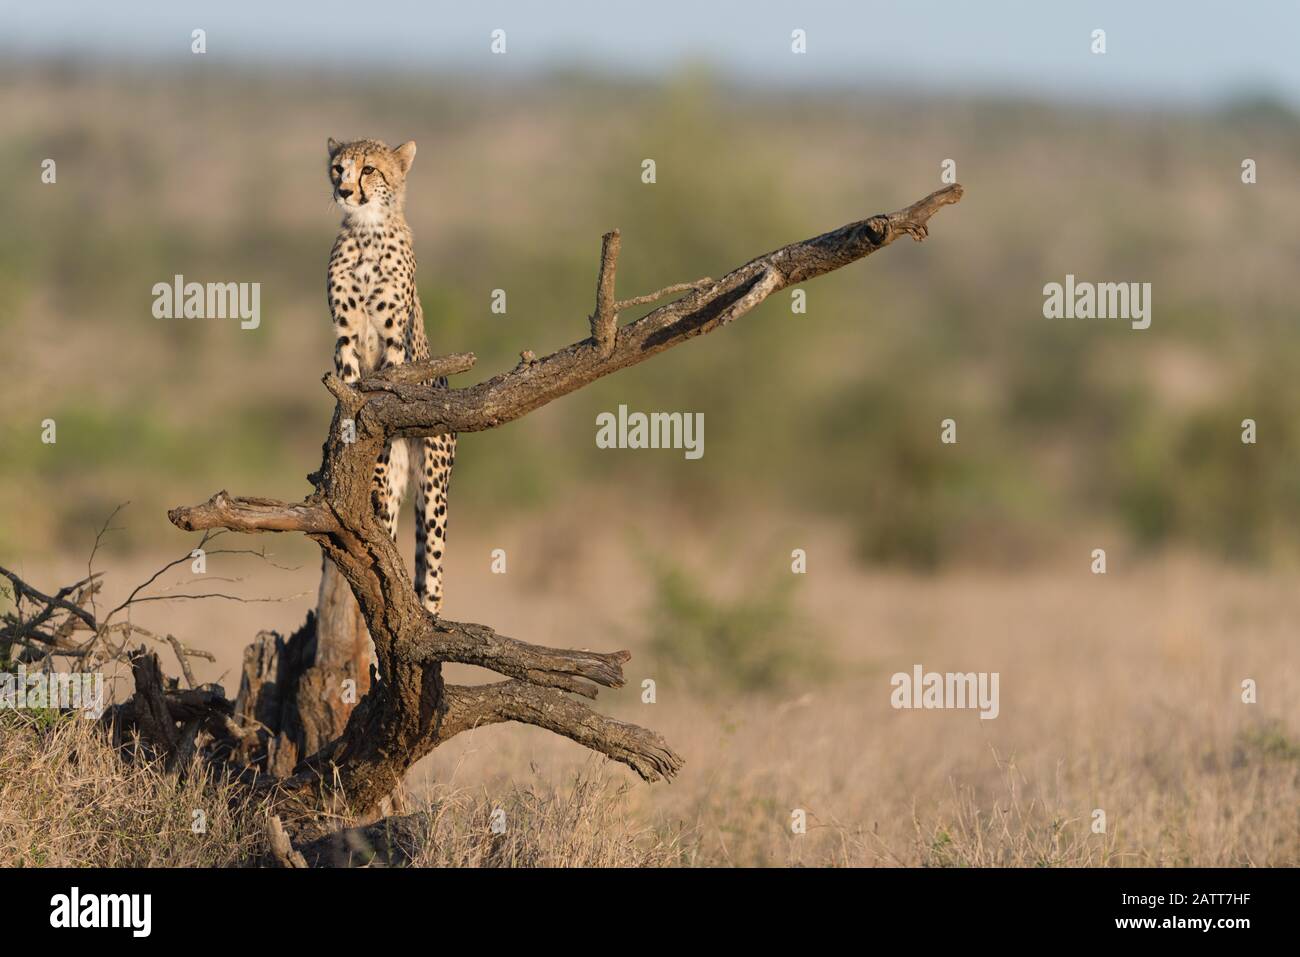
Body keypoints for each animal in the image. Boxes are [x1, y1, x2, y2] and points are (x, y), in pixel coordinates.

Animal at [327, 136, 454, 613]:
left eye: (369, 170)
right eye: (338, 167)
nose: (344, 190)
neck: (366, 232)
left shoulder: (394, 341)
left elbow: (381, 400)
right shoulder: (344, 337)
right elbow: (350, 395)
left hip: (433, 484)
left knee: (432, 568)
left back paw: (430, 613)